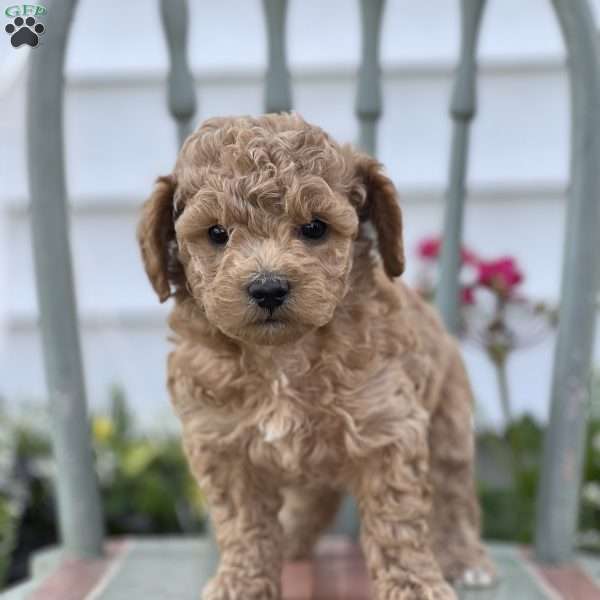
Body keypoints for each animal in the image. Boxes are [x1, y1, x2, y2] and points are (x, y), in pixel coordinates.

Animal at [138, 113, 494, 600]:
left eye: (315, 228)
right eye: (216, 233)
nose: (268, 287)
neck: (282, 358)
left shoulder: (388, 429)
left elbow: (397, 522)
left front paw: (414, 583)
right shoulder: (222, 444)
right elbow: (244, 526)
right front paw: (242, 581)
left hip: (448, 422)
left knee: (454, 493)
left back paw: (465, 559)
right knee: (315, 499)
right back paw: (290, 538)